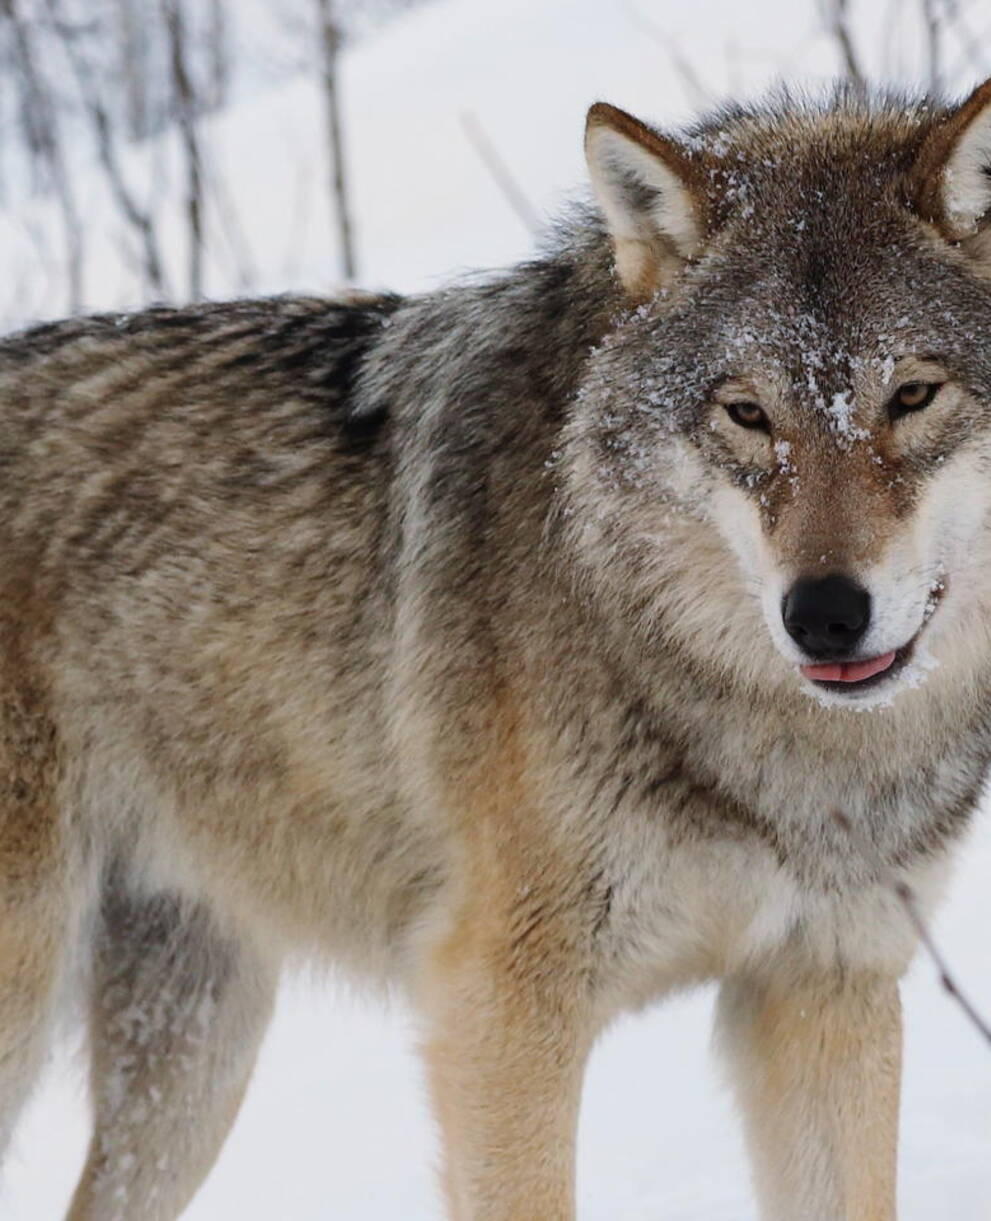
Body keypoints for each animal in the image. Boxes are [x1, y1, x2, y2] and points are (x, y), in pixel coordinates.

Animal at [1, 76, 991, 1221]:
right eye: (745, 414)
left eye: (911, 395)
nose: (823, 614)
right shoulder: (500, 1006)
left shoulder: (827, 985)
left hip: (196, 1048)